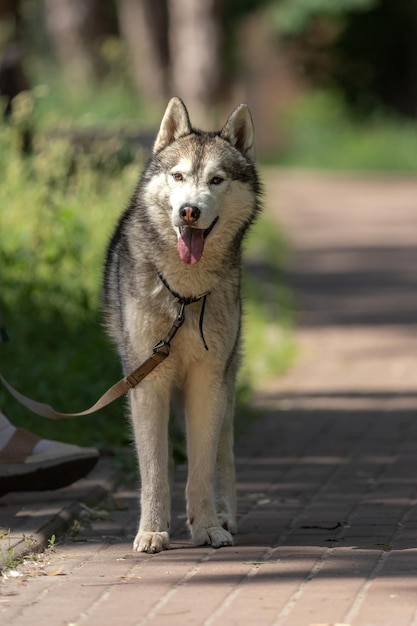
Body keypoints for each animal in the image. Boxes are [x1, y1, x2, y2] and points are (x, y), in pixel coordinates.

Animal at [104, 97, 260, 552]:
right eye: (178, 176)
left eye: (216, 180)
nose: (189, 210)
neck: (184, 296)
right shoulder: (146, 382)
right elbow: (155, 469)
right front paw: (152, 531)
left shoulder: (207, 382)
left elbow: (201, 467)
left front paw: (206, 526)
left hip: (227, 381)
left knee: (224, 450)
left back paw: (226, 515)